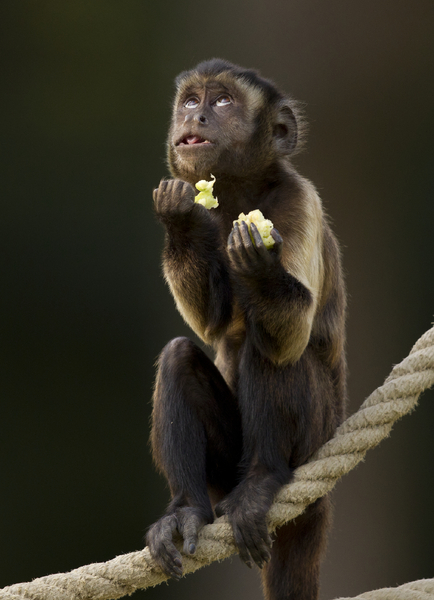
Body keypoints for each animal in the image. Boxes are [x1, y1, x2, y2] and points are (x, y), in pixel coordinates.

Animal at [146, 59, 346, 600]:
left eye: (222, 102)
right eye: (191, 102)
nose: (196, 119)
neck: (240, 191)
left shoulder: (298, 200)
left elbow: (292, 333)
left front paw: (256, 261)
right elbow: (210, 321)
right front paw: (177, 214)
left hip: (318, 438)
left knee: (270, 349)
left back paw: (262, 480)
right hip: (223, 472)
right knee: (178, 356)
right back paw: (186, 509)